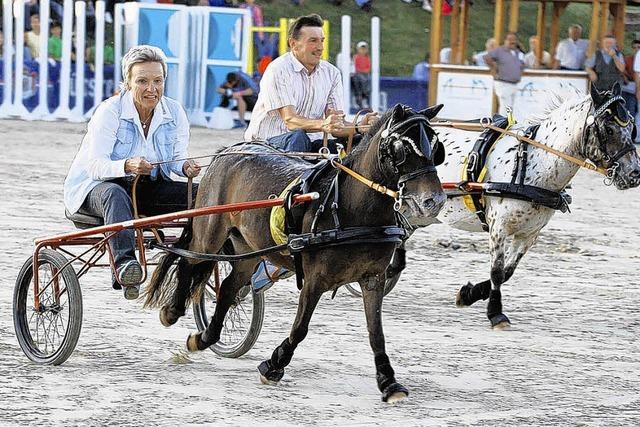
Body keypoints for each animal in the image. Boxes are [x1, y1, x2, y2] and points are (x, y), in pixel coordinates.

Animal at [144, 104, 444, 404]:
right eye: (402, 148)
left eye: (436, 146)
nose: (434, 201)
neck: (350, 209)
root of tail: (229, 151)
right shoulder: (315, 279)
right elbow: (301, 327)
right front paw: (274, 364)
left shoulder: (373, 279)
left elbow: (376, 333)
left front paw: (388, 381)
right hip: (210, 232)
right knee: (189, 262)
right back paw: (172, 311)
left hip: (249, 249)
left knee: (228, 288)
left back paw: (206, 337)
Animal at [418, 84, 640, 332]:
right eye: (609, 129)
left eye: (632, 127)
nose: (634, 174)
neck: (533, 165)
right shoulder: (498, 228)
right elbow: (497, 272)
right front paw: (496, 314)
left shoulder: (529, 234)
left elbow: (507, 272)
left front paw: (469, 293)